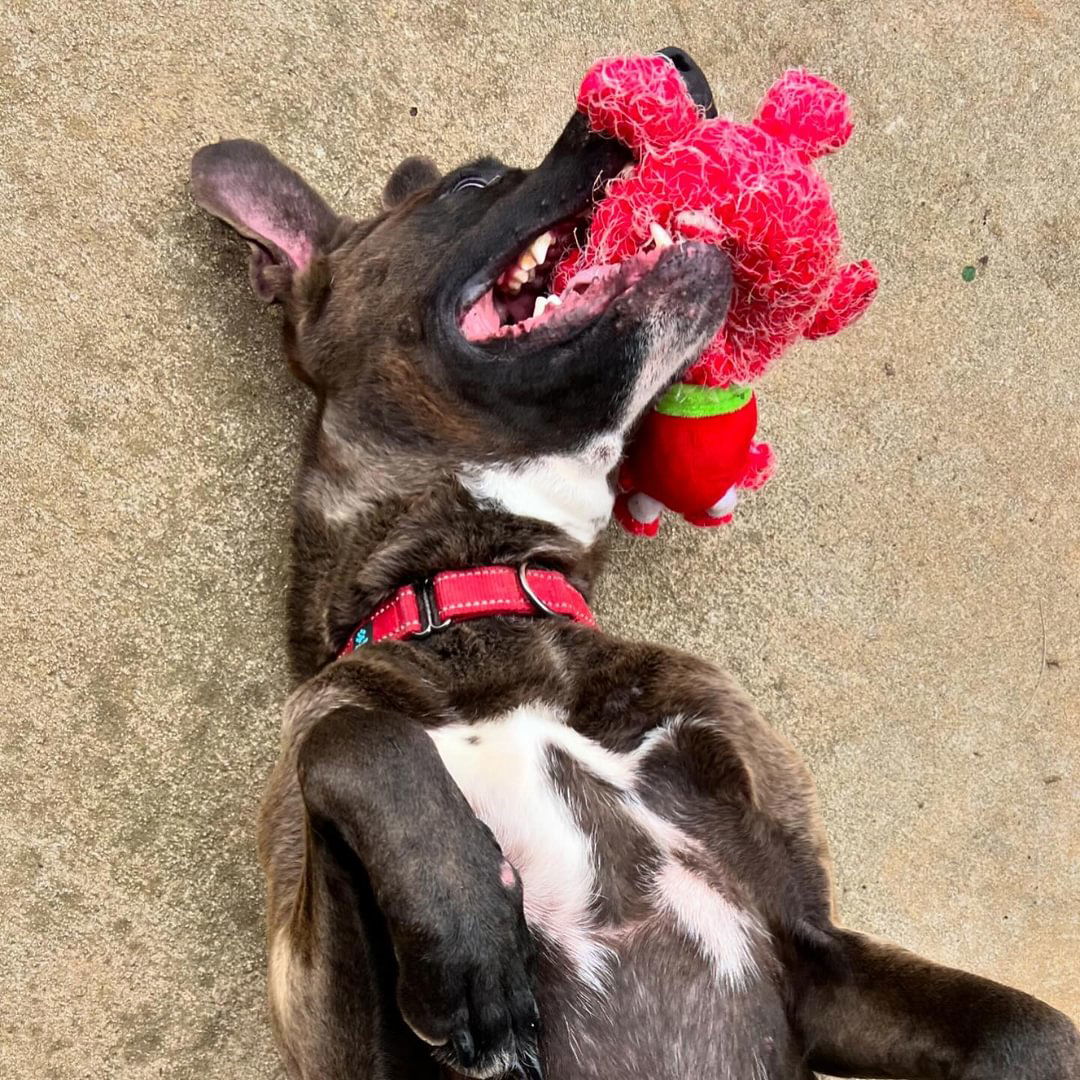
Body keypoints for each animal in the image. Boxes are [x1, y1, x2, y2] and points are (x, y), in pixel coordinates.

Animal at [190, 48, 1075, 1080]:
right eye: (471, 187)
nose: (678, 65)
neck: (481, 592)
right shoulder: (352, 1050)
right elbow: (355, 737)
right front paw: (469, 948)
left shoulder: (816, 950)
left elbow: (1037, 1028)